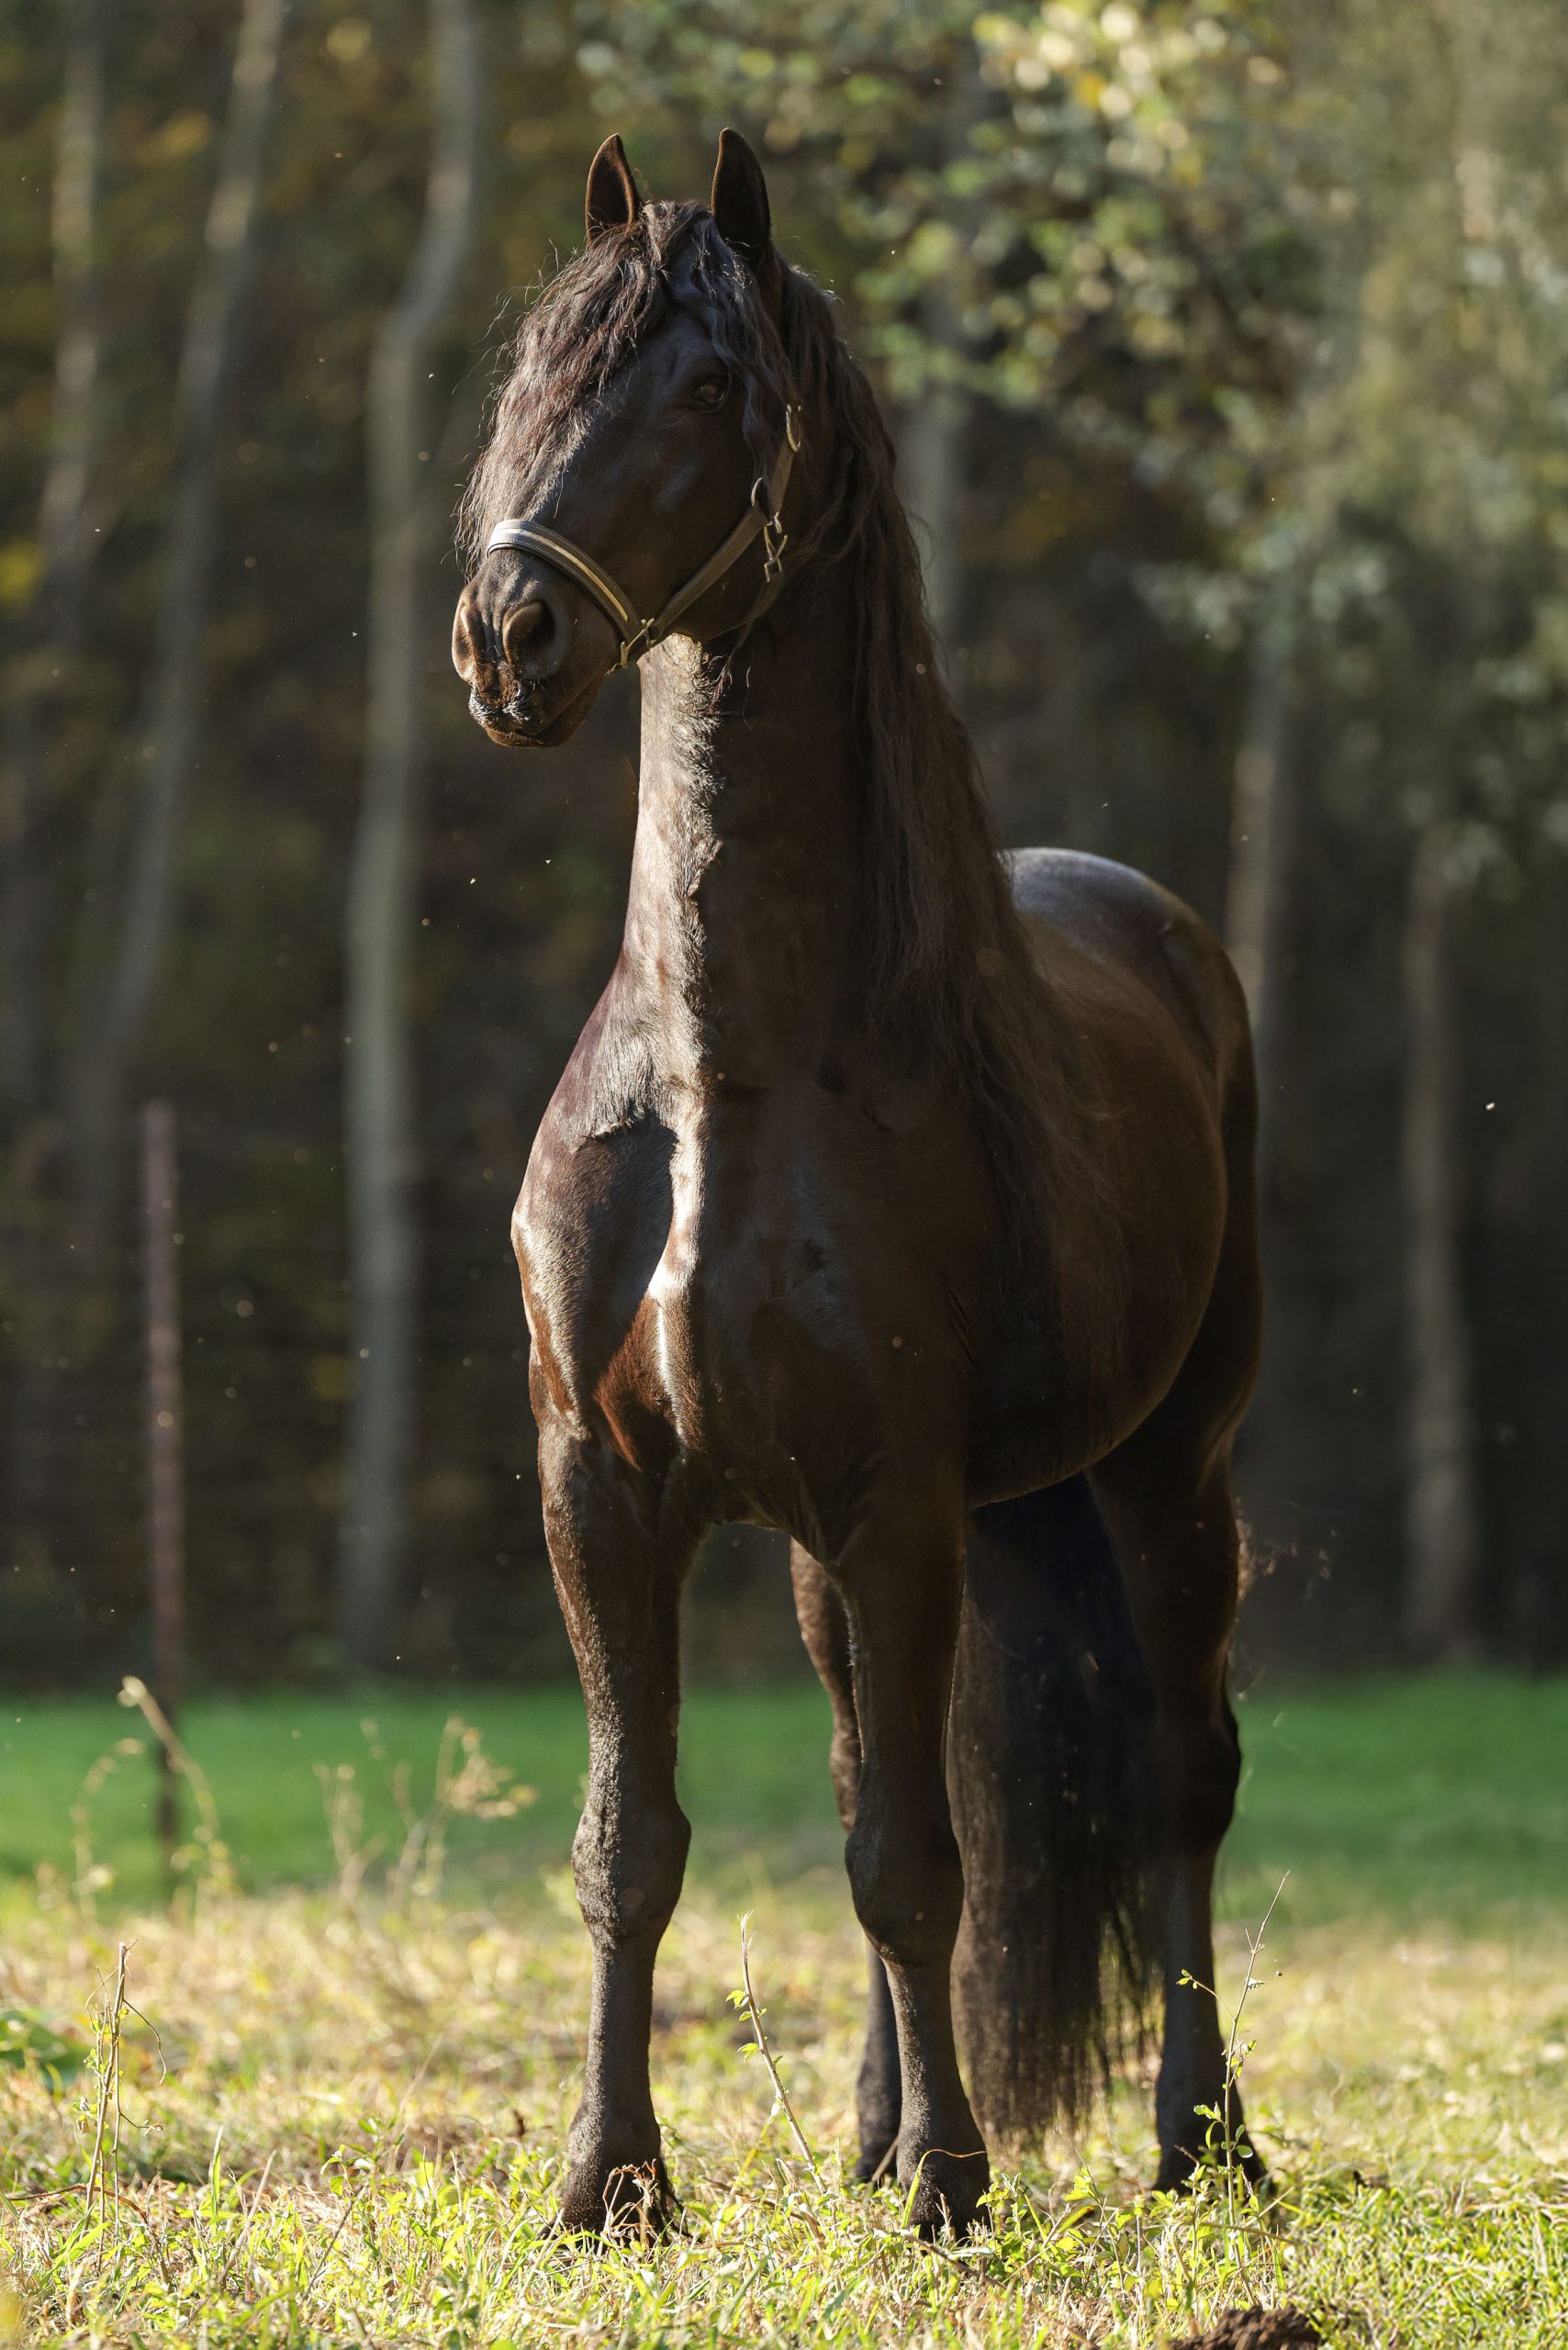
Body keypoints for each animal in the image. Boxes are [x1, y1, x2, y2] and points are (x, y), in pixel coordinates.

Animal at [451, 129, 1266, 2239]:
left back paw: (1200, 2139)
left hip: (1166, 1470)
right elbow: (636, 1842)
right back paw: (873, 2124)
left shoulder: (898, 1500)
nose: (509, 636)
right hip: (836, 1545)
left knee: (1176, 1777)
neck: (721, 1076)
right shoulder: (604, 1492)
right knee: (864, 1774)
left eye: (707, 384)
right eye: (534, 375)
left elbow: (913, 1858)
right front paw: (613, 2180)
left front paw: (955, 2189)